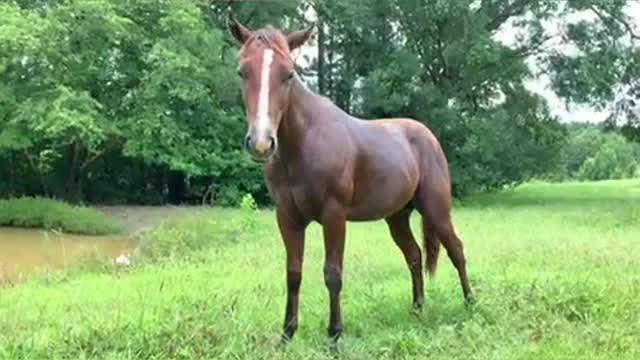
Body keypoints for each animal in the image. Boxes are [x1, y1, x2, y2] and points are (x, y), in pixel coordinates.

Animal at [228, 15, 472, 344]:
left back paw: (470, 303)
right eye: (242, 71)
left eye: (288, 74)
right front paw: (287, 334)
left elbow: (332, 274)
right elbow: (293, 274)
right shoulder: (287, 218)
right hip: (397, 217)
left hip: (436, 209)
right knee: (414, 255)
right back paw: (418, 308)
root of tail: (428, 136)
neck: (304, 144)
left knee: (456, 249)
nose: (261, 143)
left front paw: (334, 335)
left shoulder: (334, 215)